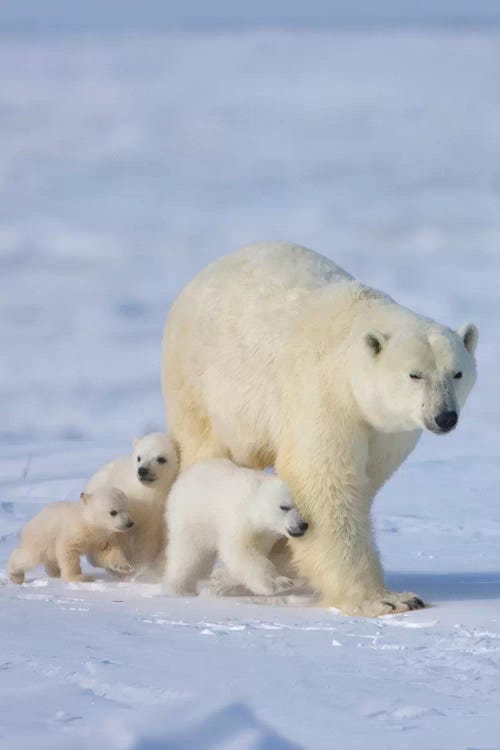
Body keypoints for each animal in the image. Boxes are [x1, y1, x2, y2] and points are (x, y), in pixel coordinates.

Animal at [85, 434, 178, 576]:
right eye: (139, 457)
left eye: (161, 458)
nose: (142, 470)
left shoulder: (156, 515)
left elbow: (148, 541)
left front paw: (141, 567)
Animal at [164, 462, 306, 596]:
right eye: (284, 507)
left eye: (304, 508)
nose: (303, 525)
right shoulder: (239, 519)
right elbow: (240, 551)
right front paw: (278, 583)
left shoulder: (265, 534)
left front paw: (223, 580)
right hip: (191, 518)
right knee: (189, 554)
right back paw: (180, 590)